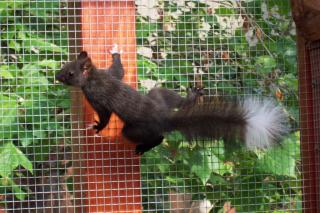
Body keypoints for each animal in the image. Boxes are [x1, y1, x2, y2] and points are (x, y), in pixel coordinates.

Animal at [56, 44, 288, 155]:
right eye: (64, 65)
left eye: (70, 73)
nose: (56, 77)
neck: (94, 76)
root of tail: (165, 118)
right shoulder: (111, 74)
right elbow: (119, 70)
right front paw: (115, 51)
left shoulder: (97, 96)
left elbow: (105, 115)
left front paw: (96, 127)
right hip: (159, 96)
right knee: (173, 100)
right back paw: (192, 97)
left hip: (135, 130)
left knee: (157, 137)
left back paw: (143, 147)